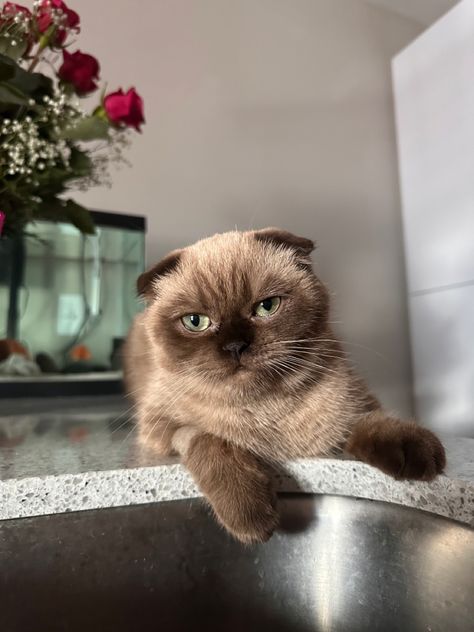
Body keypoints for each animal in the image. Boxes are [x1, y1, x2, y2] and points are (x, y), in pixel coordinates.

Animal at [124, 228, 446, 544]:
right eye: (195, 322)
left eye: (267, 307)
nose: (236, 346)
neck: (268, 410)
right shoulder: (162, 426)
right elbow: (210, 441)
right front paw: (251, 517)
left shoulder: (355, 408)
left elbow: (373, 421)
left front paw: (418, 454)